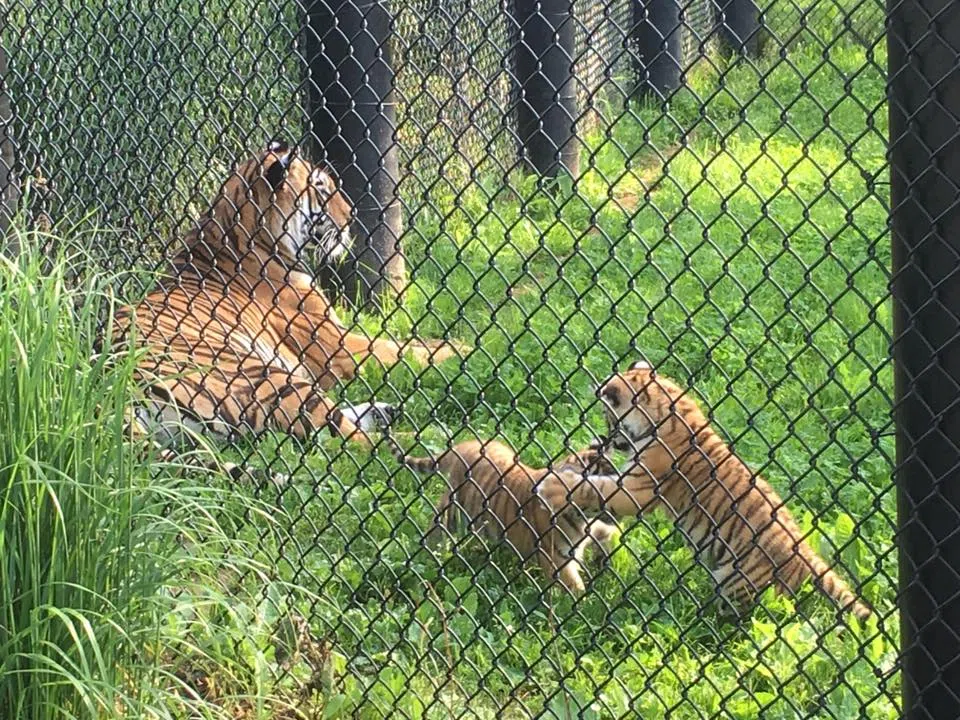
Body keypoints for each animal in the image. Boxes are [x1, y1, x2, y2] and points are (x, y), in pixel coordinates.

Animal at [119, 142, 464, 456]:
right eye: (321, 188)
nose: (352, 215)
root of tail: (122, 390)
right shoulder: (337, 347)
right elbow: (408, 349)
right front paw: (464, 350)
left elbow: (417, 343)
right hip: (267, 378)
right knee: (353, 443)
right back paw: (431, 441)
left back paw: (386, 414)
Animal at [388, 434, 620, 596]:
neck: (584, 518)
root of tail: (465, 445)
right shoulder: (556, 556)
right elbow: (574, 586)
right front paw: (583, 606)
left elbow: (607, 537)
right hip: (452, 509)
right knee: (435, 530)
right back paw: (430, 556)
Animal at [548, 362, 872, 620]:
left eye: (608, 415)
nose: (608, 438)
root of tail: (805, 552)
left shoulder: (638, 488)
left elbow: (593, 488)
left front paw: (555, 484)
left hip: (739, 583)